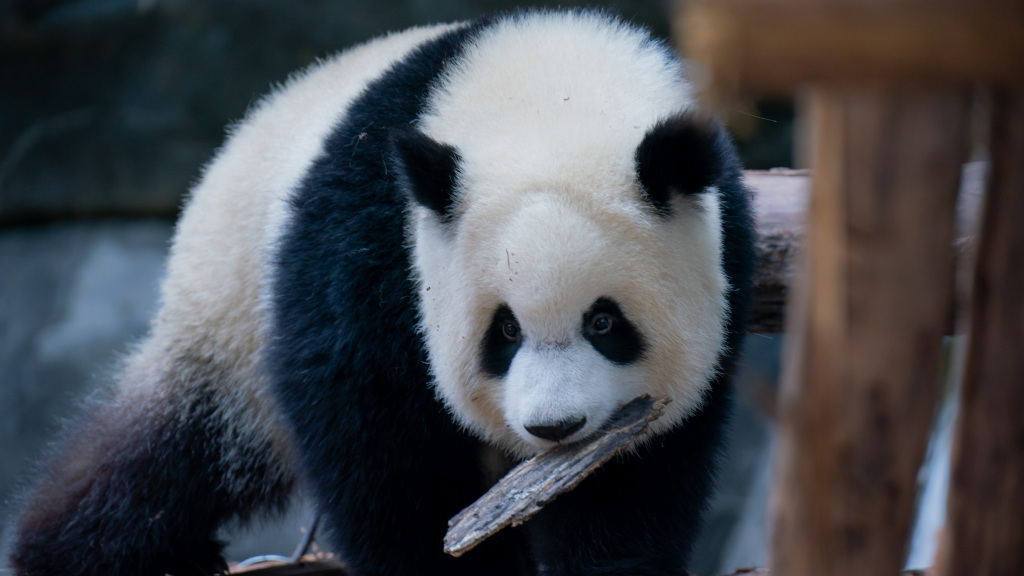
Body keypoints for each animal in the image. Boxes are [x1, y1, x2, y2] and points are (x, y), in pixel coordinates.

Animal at [9, 9, 754, 576]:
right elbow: (371, 433)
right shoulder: (374, 238)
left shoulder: (725, 255)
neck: (553, 94)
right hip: (229, 303)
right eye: (504, 330)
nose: (555, 427)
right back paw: (90, 551)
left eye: (605, 322)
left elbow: (642, 470)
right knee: (176, 449)